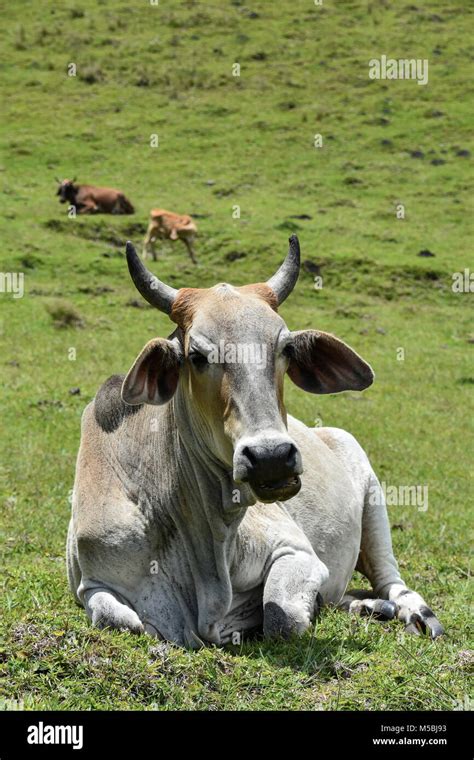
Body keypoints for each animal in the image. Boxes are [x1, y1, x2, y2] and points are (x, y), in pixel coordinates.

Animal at [67, 238, 444, 648]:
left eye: (286, 349)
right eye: (197, 355)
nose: (271, 457)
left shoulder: (296, 551)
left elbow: (283, 619)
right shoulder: (92, 584)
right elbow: (122, 620)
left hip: (371, 498)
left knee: (390, 579)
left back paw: (412, 611)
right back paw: (365, 606)